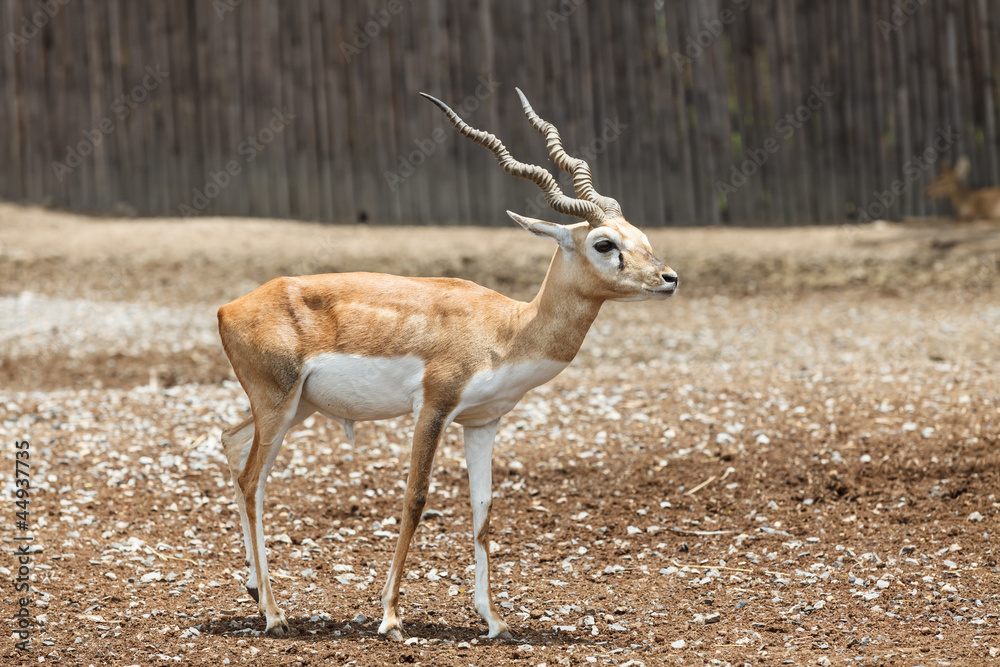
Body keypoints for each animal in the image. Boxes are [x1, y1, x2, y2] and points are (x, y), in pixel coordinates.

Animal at [217, 87, 678, 641]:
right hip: (278, 404)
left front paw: (494, 619)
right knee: (252, 482)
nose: (669, 278)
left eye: (640, 235)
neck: (505, 330)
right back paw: (274, 613)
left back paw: (253, 590)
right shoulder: (434, 407)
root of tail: (229, 307)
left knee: (233, 446)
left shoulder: (482, 422)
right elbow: (415, 498)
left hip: (293, 407)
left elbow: (483, 510)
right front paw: (391, 616)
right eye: (604, 243)